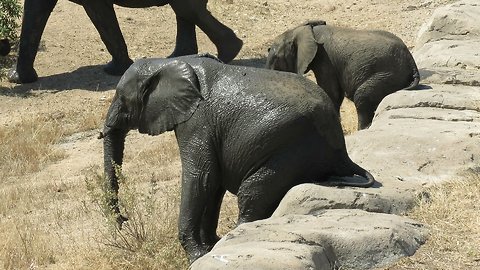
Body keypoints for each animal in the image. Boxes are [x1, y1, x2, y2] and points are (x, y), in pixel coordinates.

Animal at [6, 0, 242, 84]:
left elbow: (101, 15)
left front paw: (114, 71)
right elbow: (36, 11)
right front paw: (17, 79)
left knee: (187, 9)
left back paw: (227, 53)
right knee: (185, 11)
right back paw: (180, 57)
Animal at [98, 53, 376, 262]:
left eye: (122, 100)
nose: (123, 221)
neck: (169, 62)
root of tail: (343, 153)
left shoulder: (197, 122)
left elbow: (201, 177)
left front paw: (198, 255)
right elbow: (214, 183)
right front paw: (211, 246)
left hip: (291, 147)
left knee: (252, 191)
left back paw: (237, 233)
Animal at [266, 20, 420, 130]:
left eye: (276, 58)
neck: (305, 30)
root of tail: (412, 62)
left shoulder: (324, 59)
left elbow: (332, 93)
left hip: (388, 75)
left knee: (362, 96)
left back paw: (363, 129)